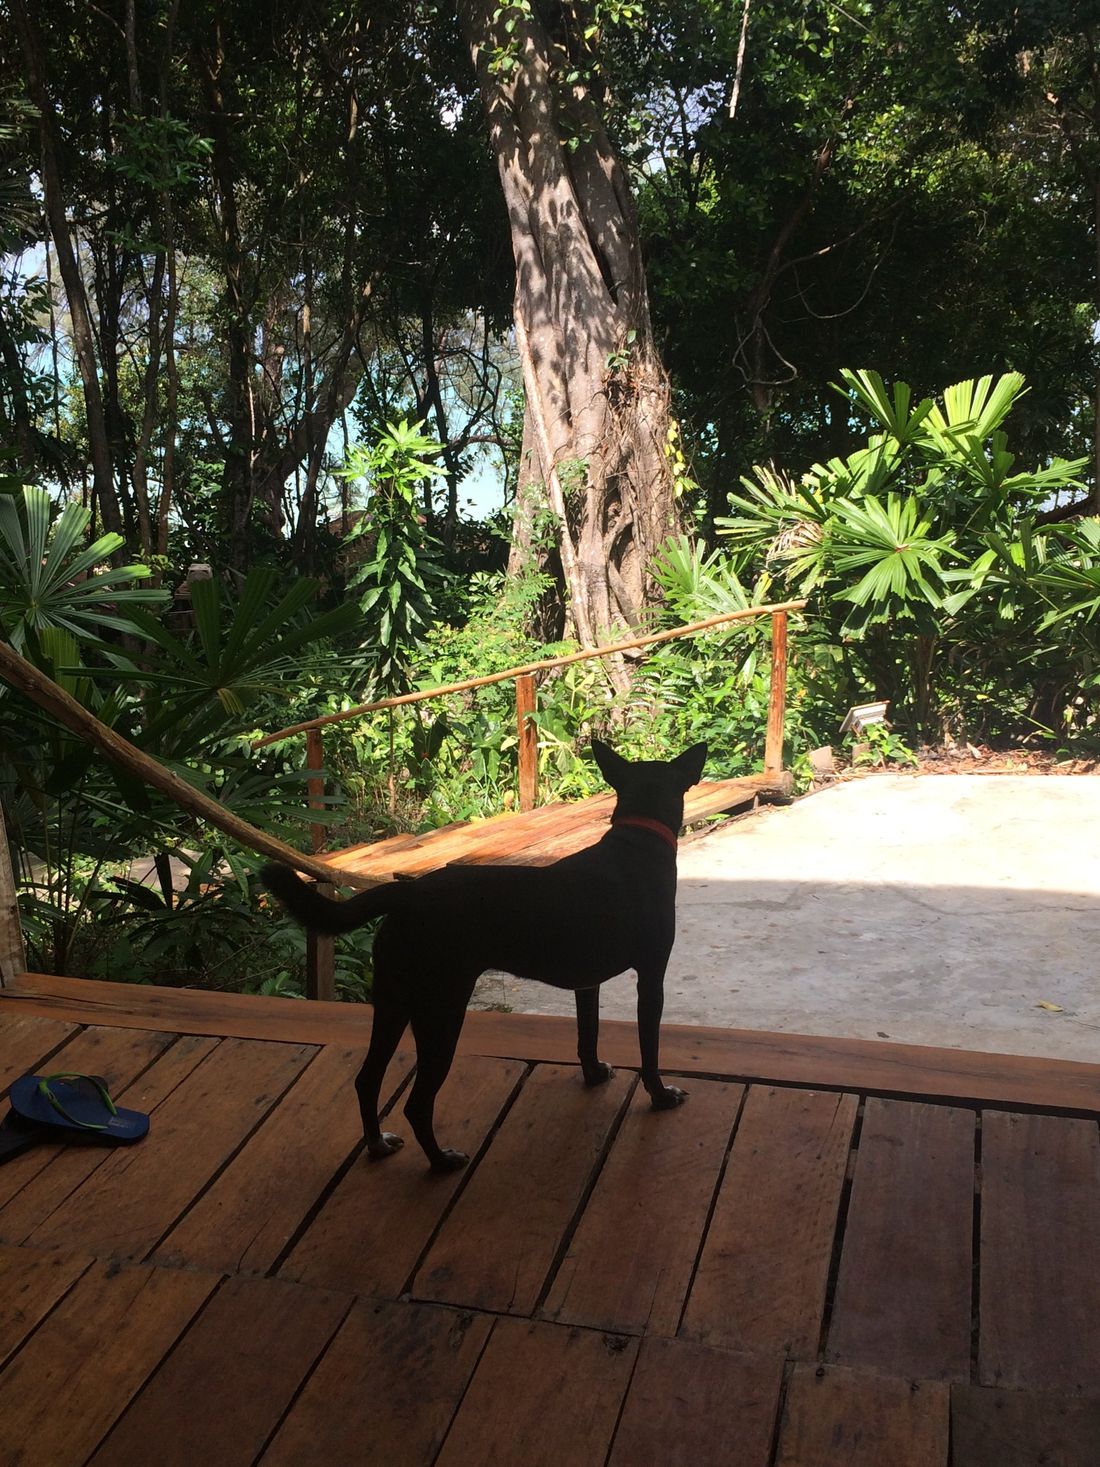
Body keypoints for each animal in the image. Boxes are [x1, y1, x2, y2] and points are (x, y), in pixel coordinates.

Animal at [268, 739, 715, 1173]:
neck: (638, 838)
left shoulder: (586, 984)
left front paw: (593, 1075)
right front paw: (661, 1096)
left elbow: (587, 1035)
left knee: (367, 1079)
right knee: (416, 1104)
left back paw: (378, 1145)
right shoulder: (651, 978)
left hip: (394, 1001)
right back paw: (441, 1162)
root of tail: (407, 893)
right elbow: (649, 1051)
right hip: (441, 1013)